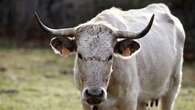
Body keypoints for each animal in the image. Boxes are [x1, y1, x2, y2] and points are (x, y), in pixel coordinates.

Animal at [35, 3, 186, 110]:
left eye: (110, 56)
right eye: (80, 55)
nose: (94, 94)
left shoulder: (129, 101)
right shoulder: (85, 102)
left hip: (172, 89)